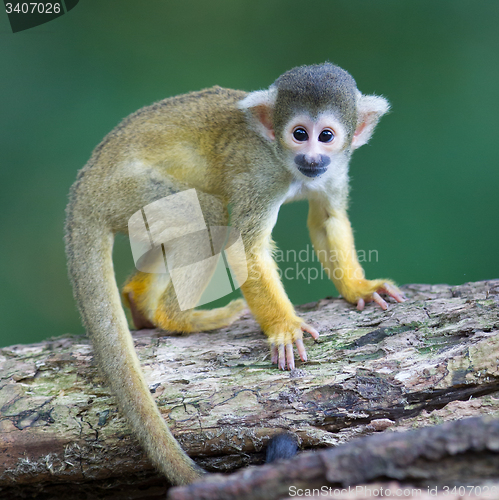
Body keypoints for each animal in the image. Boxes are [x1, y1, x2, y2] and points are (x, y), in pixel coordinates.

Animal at [64, 61, 406, 484]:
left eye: (326, 136)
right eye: (299, 134)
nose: (312, 158)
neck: (283, 160)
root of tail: (85, 186)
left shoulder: (334, 168)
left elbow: (327, 218)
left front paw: (359, 288)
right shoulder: (259, 174)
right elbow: (245, 246)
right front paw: (283, 328)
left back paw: (140, 302)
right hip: (127, 192)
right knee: (208, 216)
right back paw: (177, 317)